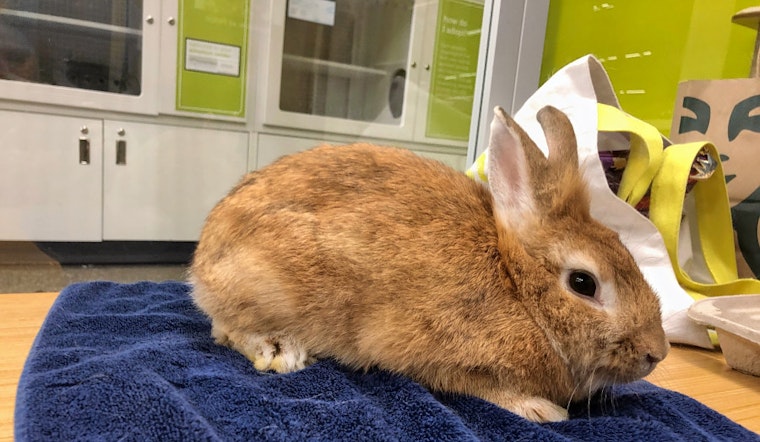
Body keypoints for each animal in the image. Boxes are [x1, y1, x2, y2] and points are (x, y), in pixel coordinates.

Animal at [190, 105, 669, 423]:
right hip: (266, 286)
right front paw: (542, 410)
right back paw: (280, 351)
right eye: (584, 283)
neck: (515, 285)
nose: (658, 353)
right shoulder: (439, 356)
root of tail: (202, 263)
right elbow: (482, 386)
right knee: (226, 328)